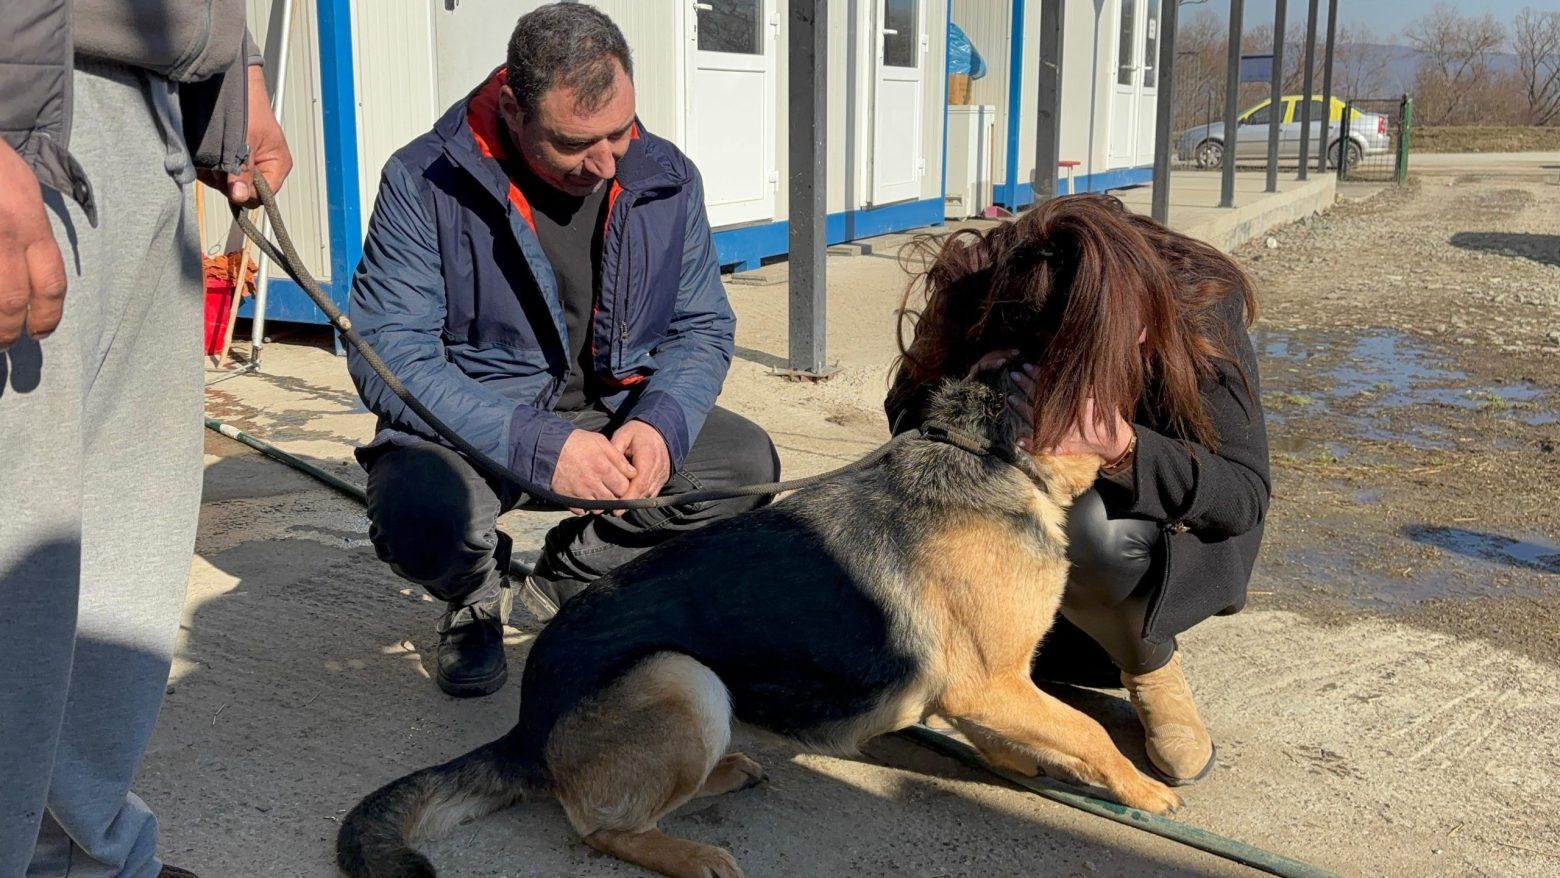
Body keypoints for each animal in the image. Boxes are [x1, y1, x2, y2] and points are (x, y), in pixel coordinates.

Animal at [335, 375, 1173, 878]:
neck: (984, 453)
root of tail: (526, 726)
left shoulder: (994, 686)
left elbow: (1033, 733)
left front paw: (1027, 761)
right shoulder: (987, 683)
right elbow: (1089, 731)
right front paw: (1142, 791)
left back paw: (727, 774)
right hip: (681, 677)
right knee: (597, 825)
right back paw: (688, 853)